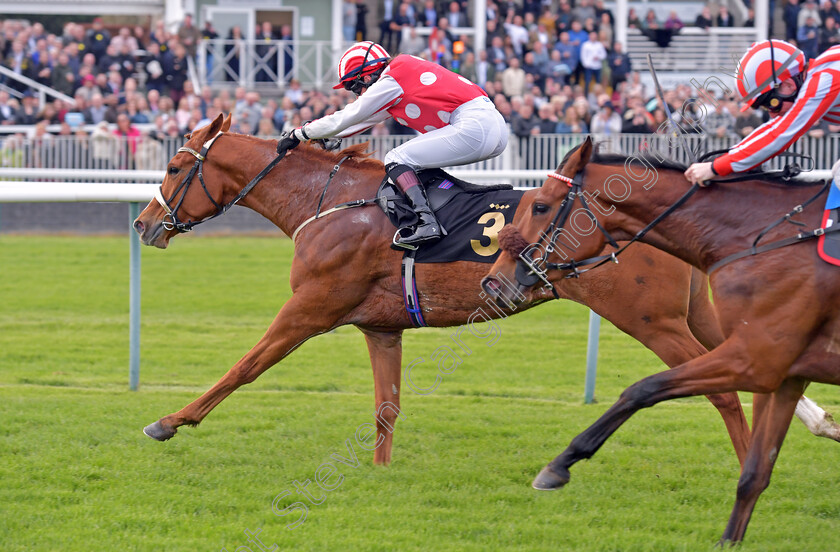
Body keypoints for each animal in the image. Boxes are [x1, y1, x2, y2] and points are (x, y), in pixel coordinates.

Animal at [133, 115, 796, 470]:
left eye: (174, 167)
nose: (142, 224)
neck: (330, 201)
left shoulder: (311, 307)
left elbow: (244, 366)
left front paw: (168, 421)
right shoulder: (381, 325)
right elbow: (386, 405)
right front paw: (379, 473)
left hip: (649, 318)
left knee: (724, 391)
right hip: (693, 313)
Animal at [482, 135, 840, 544]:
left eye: (540, 205)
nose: (493, 282)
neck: (759, 235)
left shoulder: (756, 359)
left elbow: (641, 389)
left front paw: (560, 465)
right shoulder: (775, 366)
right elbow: (755, 473)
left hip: (660, 325)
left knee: (720, 395)